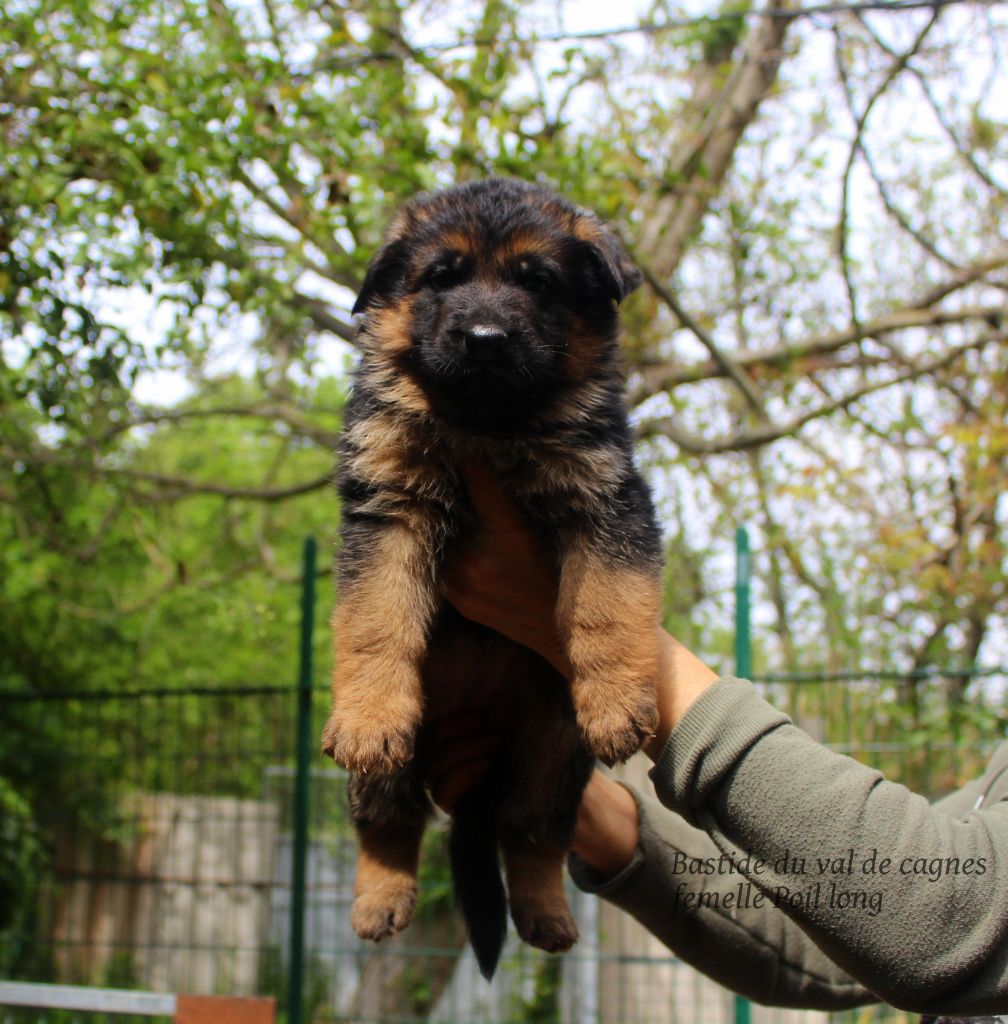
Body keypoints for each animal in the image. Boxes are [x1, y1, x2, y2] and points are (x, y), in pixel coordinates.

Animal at [323, 180, 663, 978]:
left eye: (536, 282)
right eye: (441, 277)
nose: (484, 338)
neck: (487, 422)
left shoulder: (605, 499)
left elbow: (608, 607)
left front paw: (616, 699)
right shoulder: (389, 507)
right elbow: (376, 621)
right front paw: (369, 711)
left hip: (552, 747)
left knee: (531, 831)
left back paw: (545, 913)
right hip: (410, 753)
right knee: (389, 821)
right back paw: (379, 896)